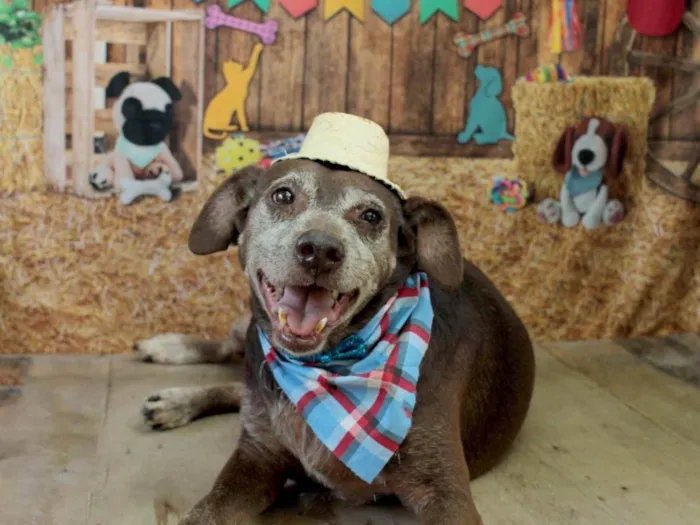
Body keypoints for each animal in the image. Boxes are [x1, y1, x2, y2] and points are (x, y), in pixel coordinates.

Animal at [133, 114, 536, 524]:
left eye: (371, 216)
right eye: (283, 196)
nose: (320, 250)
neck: (322, 369)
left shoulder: (446, 492)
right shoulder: (256, 456)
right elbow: (208, 511)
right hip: (245, 332)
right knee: (230, 358)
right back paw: (169, 357)